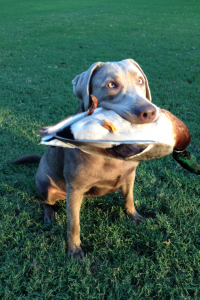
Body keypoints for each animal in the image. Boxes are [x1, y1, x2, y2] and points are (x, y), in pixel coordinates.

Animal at [13, 59, 159, 260]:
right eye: (111, 85)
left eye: (140, 81)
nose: (149, 112)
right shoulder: (74, 189)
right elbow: (74, 224)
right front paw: (74, 250)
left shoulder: (130, 175)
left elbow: (128, 198)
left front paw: (133, 216)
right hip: (46, 185)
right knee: (45, 202)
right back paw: (49, 217)